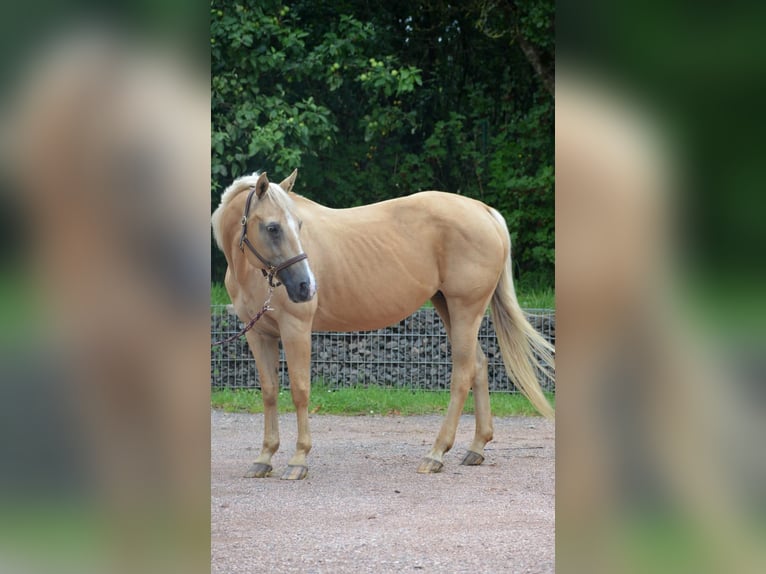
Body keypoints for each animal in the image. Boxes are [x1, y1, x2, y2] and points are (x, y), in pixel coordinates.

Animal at [212, 171, 560, 482]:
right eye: (272, 227)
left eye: (298, 225)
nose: (305, 286)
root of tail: (483, 210)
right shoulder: (258, 334)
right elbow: (270, 392)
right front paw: (264, 458)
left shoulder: (295, 329)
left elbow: (299, 390)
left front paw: (298, 460)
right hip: (447, 307)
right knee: (479, 365)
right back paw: (475, 448)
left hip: (466, 309)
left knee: (462, 375)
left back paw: (435, 454)